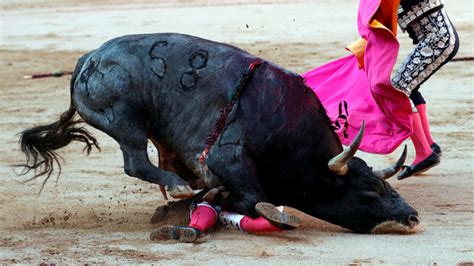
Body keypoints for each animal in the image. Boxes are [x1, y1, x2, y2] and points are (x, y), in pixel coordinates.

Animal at [18, 32, 418, 233]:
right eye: (371, 189)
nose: (412, 217)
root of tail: (87, 59)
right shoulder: (230, 158)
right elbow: (253, 197)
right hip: (125, 120)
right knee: (136, 162)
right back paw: (180, 188)